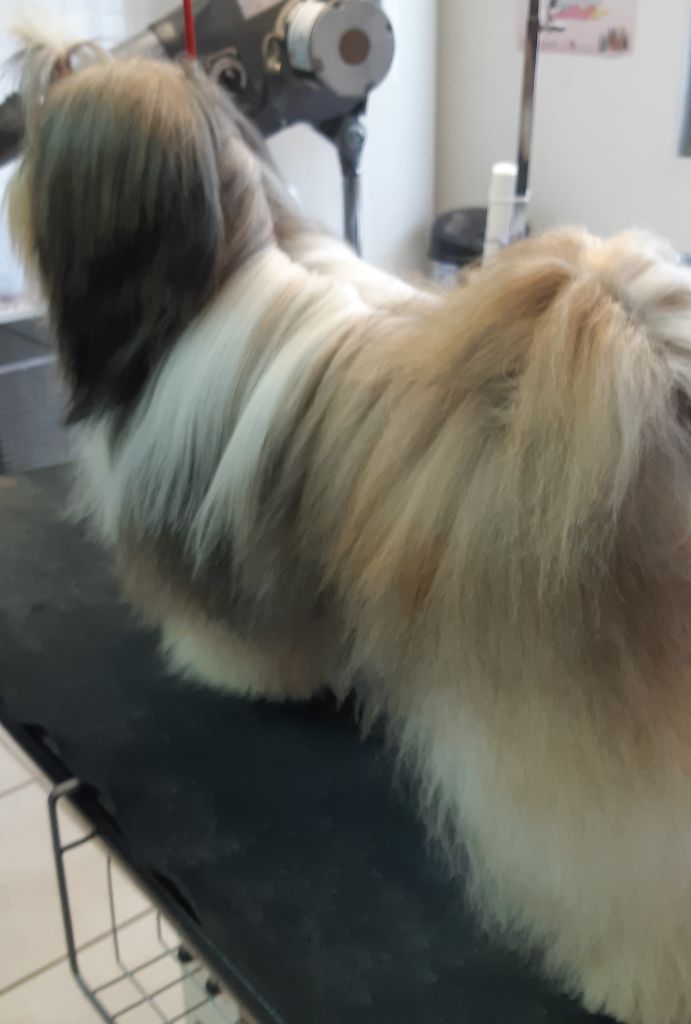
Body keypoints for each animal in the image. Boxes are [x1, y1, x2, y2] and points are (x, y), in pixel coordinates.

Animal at [9, 39, 691, 1024]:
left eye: (40, 124)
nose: (15, 180)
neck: (214, 269)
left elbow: (235, 636)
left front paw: (230, 671)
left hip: (568, 713)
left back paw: (636, 979)